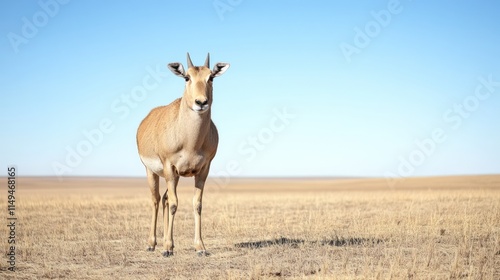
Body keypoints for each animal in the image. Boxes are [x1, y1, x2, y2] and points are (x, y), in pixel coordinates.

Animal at [137, 53, 230, 258]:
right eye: (187, 77)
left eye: (211, 77)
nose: (201, 102)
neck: (190, 142)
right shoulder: (169, 167)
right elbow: (174, 204)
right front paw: (167, 248)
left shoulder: (203, 170)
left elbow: (197, 204)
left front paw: (200, 247)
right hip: (152, 172)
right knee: (156, 200)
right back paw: (152, 244)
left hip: (175, 176)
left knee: (164, 199)